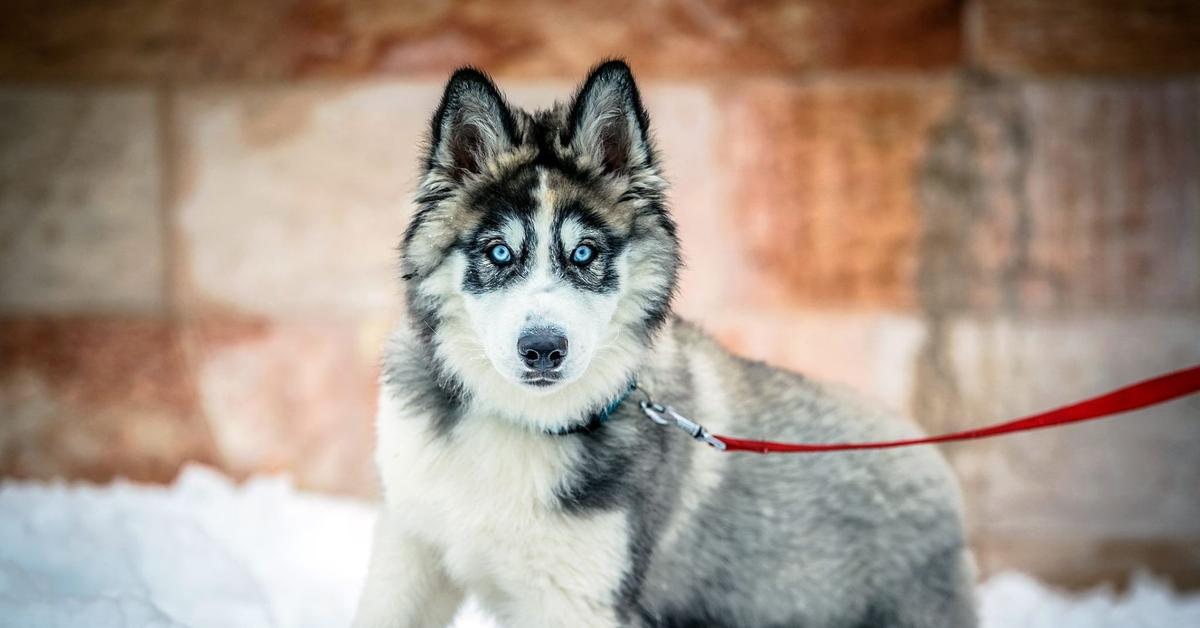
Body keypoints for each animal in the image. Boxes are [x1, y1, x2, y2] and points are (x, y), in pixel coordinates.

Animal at [352, 60, 974, 628]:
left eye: (585, 253)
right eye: (499, 252)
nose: (544, 349)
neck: (522, 421)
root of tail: (928, 456)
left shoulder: (580, 599)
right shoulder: (409, 552)